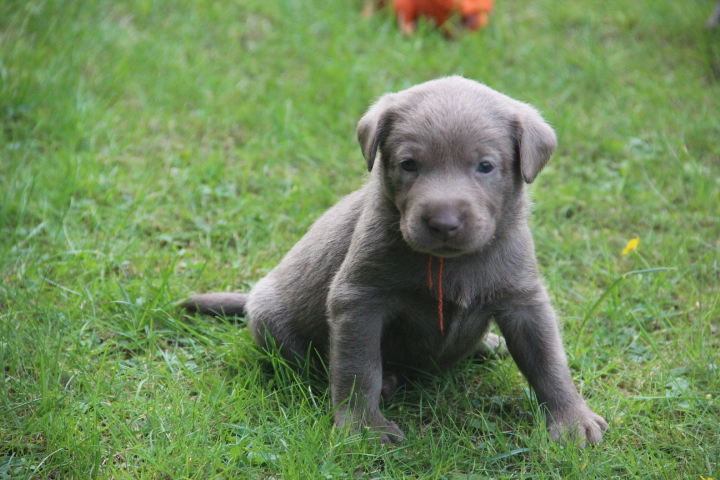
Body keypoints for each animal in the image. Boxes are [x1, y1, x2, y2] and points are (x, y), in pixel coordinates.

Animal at [182, 76, 608, 446]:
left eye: (486, 166)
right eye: (409, 164)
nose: (444, 222)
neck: (448, 264)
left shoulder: (524, 300)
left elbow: (548, 361)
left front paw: (573, 419)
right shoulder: (360, 301)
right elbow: (358, 368)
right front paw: (364, 427)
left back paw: (487, 343)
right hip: (272, 320)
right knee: (312, 364)